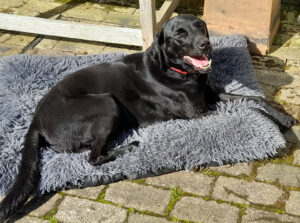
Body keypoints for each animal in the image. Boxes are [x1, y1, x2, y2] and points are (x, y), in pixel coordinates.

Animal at [0, 14, 296, 221]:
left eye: (201, 25)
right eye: (179, 34)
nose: (207, 44)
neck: (177, 71)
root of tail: (36, 120)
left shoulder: (211, 96)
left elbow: (254, 100)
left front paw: (282, 117)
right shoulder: (198, 112)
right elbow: (248, 109)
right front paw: (275, 121)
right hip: (106, 103)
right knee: (93, 158)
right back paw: (128, 146)